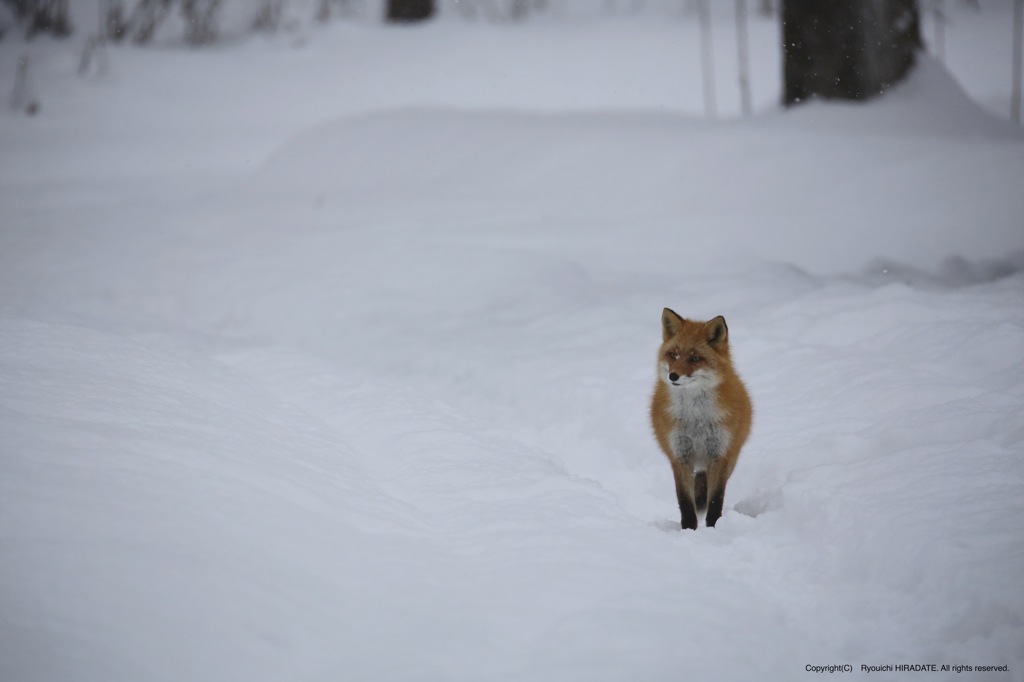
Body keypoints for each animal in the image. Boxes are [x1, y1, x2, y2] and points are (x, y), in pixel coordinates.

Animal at [647, 309, 753, 532]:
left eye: (696, 358)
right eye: (673, 355)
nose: (673, 376)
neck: (696, 419)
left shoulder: (719, 454)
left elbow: (715, 499)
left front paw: (713, 528)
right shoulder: (679, 455)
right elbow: (685, 500)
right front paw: (688, 529)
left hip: (731, 458)